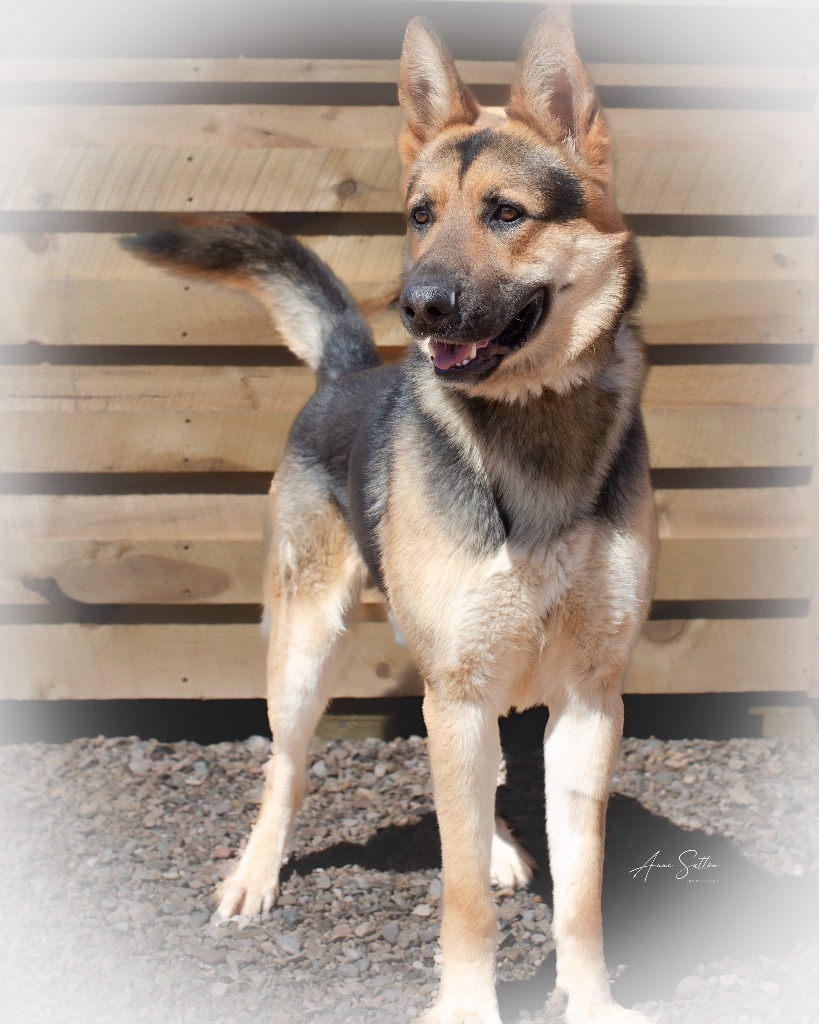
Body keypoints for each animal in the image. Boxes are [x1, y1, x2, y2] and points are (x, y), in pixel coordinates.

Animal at [123, 8, 659, 1024]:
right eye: (419, 215)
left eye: (505, 213)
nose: (417, 307)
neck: (530, 423)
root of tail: (345, 368)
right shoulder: (458, 683)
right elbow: (457, 897)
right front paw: (466, 1006)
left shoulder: (586, 699)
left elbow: (580, 894)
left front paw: (591, 1000)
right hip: (307, 650)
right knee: (286, 768)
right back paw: (254, 876)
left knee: (475, 783)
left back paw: (497, 844)